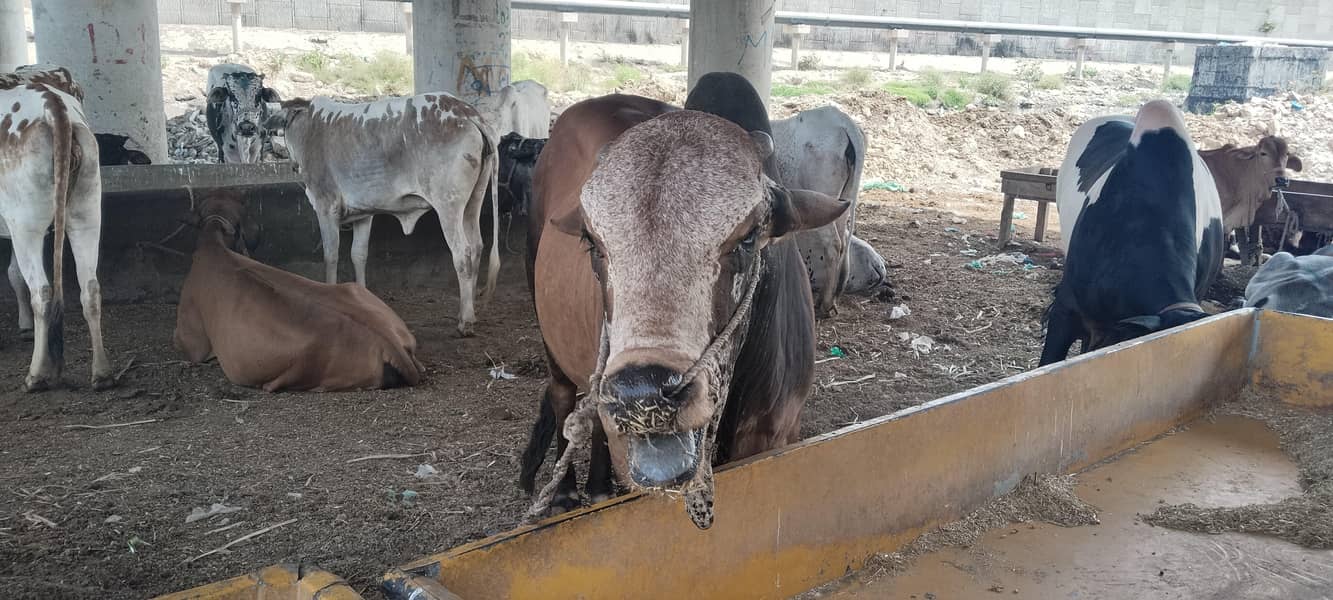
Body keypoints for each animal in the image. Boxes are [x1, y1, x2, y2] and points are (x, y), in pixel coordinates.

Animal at [0, 65, 113, 391]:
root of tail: (53, 106)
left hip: (25, 222)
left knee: (43, 291)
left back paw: (37, 374)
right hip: (87, 210)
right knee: (90, 287)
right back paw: (102, 372)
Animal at [262, 93, 500, 337]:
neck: (309, 126)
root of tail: (467, 112)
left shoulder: (326, 206)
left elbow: (331, 256)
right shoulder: (364, 214)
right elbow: (358, 254)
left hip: (448, 205)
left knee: (463, 252)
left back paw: (466, 321)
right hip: (472, 203)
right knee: (477, 247)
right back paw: (468, 311)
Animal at [519, 72, 848, 528]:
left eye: (749, 236)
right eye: (592, 242)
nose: (642, 394)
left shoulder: (781, 435)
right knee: (566, 398)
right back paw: (566, 491)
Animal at [772, 106, 868, 317]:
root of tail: (841, 120)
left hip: (824, 202)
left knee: (833, 244)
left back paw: (825, 304)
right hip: (843, 202)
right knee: (842, 243)